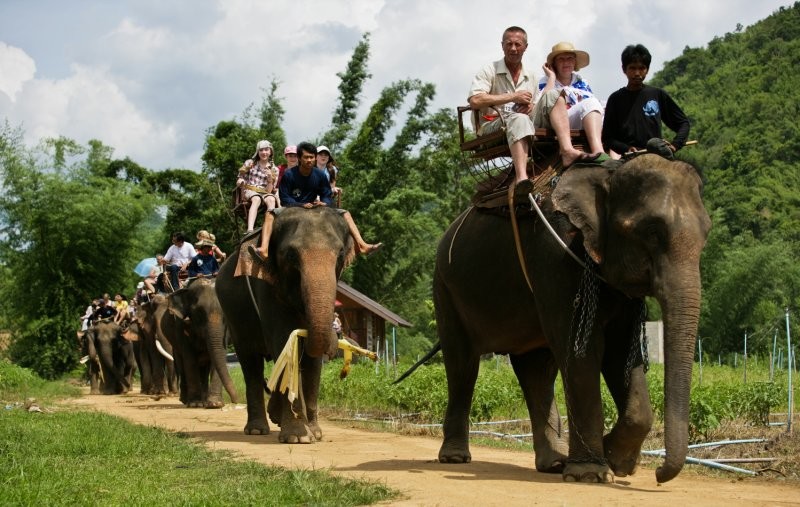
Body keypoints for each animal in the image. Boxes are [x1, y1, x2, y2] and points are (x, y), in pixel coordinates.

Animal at [158, 278, 239, 408]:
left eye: (226, 313)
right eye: (199, 312)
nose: (235, 401)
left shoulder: (225, 331)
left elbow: (219, 356)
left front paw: (215, 404)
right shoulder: (181, 326)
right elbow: (190, 359)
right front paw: (195, 404)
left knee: (204, 369)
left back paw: (204, 401)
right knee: (182, 365)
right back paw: (185, 400)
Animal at [216, 206, 354, 444]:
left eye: (340, 255)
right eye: (291, 256)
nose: (336, 338)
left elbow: (310, 357)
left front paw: (315, 433)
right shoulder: (267, 287)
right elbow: (284, 341)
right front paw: (297, 437)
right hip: (234, 317)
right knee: (251, 363)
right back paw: (257, 430)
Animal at [428, 156, 708, 484]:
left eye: (706, 234)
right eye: (652, 231)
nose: (659, 474)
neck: (606, 177)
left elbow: (621, 351)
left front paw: (617, 461)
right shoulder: (556, 254)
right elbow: (581, 350)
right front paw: (592, 473)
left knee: (536, 369)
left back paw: (554, 462)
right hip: (445, 288)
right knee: (462, 363)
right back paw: (455, 458)